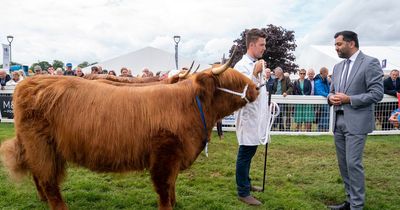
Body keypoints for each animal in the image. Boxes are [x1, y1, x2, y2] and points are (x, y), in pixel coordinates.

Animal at [0, 62, 260, 208]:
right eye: (233, 80)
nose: (258, 88)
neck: (190, 106)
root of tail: (30, 83)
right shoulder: (164, 156)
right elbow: (164, 189)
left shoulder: (174, 158)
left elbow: (172, 187)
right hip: (40, 145)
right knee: (49, 181)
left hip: (42, 148)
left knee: (39, 176)